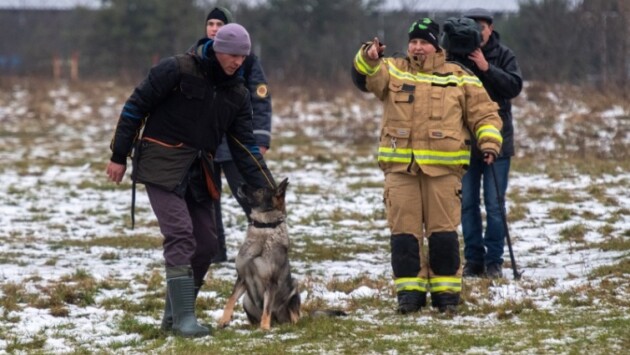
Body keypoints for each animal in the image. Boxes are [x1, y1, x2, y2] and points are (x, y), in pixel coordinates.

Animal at [220, 178, 304, 330]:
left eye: (260, 190)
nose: (241, 184)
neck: (264, 227)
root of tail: (278, 321)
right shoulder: (241, 277)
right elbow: (231, 299)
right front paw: (224, 320)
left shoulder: (271, 283)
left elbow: (267, 308)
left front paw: (264, 327)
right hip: (247, 300)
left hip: (294, 288)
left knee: (295, 316)